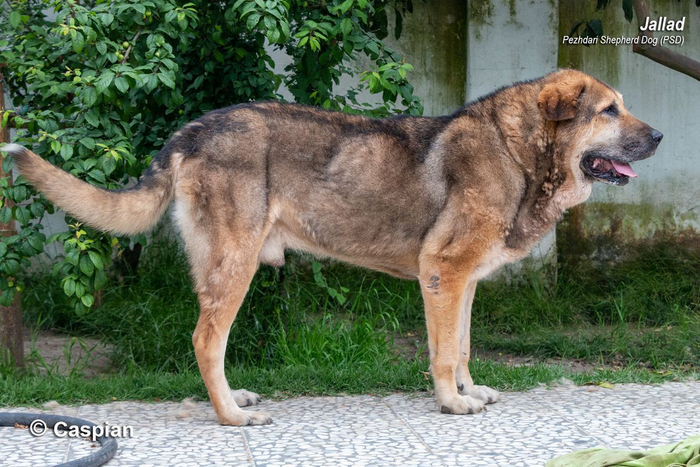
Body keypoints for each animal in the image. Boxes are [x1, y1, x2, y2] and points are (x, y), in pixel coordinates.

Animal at [3, 69, 662, 425]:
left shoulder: (465, 282)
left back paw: (233, 398)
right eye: (609, 110)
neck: (519, 149)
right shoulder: (443, 273)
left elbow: (464, 346)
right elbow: (443, 353)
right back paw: (231, 416)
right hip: (236, 266)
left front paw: (470, 391)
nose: (659, 135)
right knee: (205, 340)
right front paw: (451, 404)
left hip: (219, 267)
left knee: (211, 343)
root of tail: (193, 128)